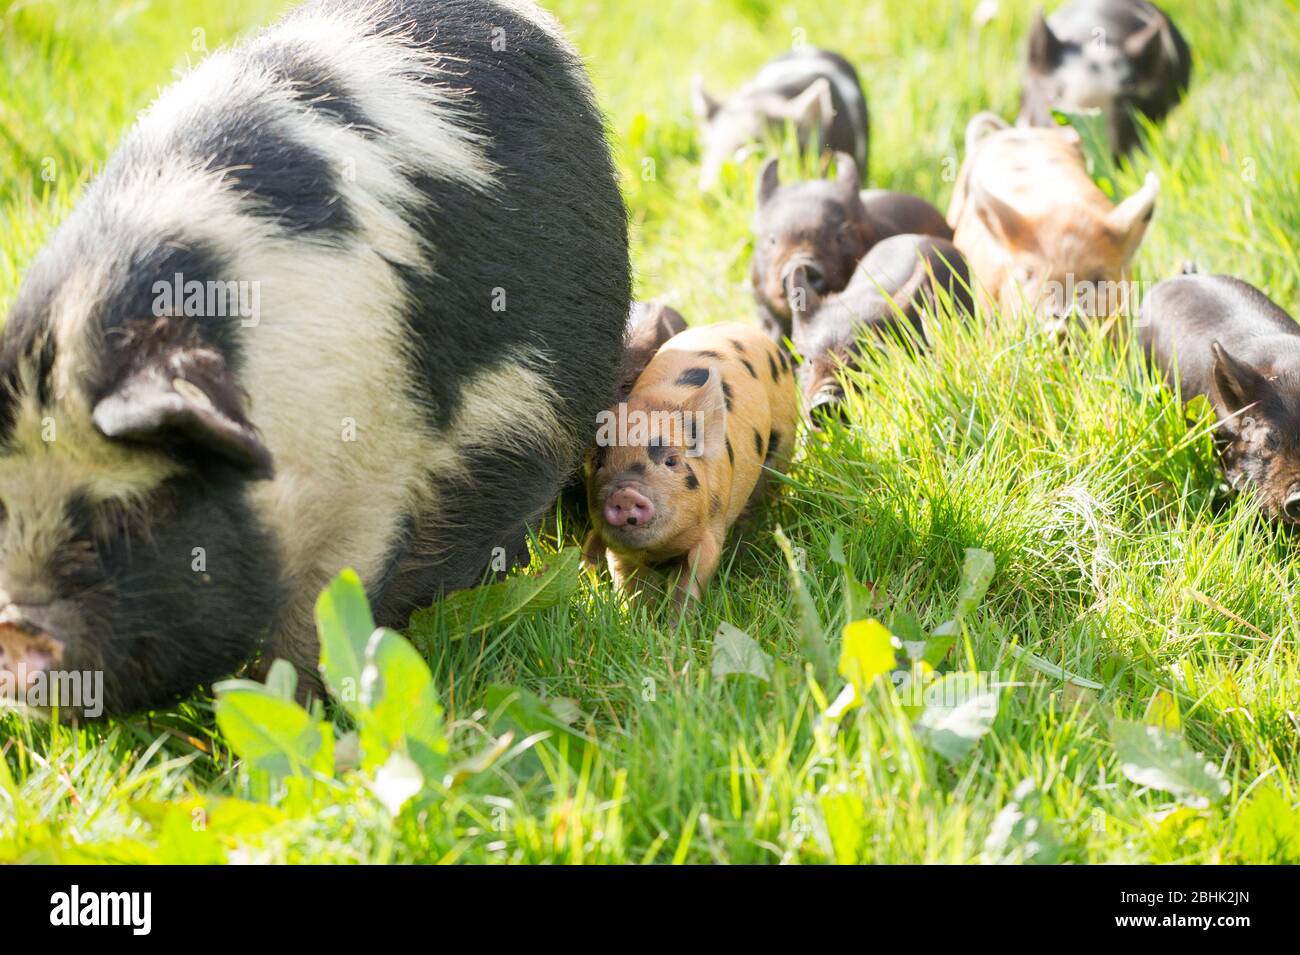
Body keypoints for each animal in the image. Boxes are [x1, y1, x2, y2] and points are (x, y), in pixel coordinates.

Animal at [0, 0, 629, 717]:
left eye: (137, 512)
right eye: (0, 507)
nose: (16, 628)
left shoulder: (373, 468)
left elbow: (326, 610)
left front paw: (301, 707)